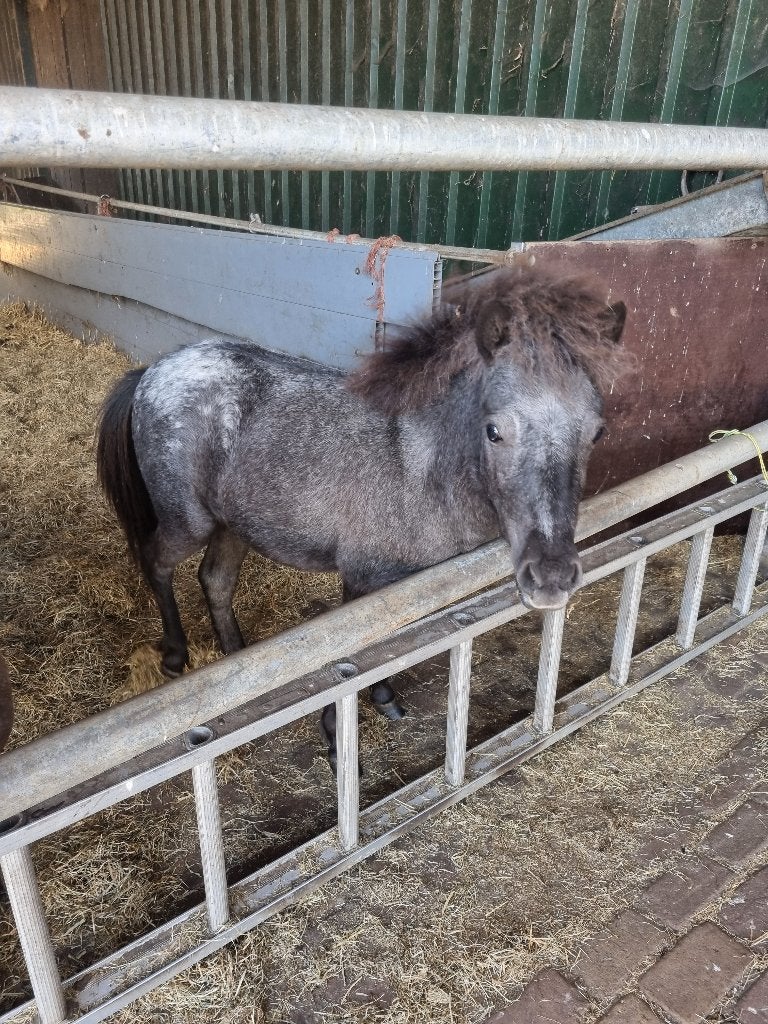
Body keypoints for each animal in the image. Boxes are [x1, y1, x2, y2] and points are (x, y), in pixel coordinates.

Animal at [97, 267, 627, 764]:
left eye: (596, 432)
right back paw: (175, 656)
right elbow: (351, 657)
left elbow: (387, 645)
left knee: (215, 580)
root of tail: (152, 372)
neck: (419, 464)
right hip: (189, 521)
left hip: (233, 523)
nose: (552, 577)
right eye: (494, 430)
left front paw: (384, 699)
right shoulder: (360, 578)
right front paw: (338, 739)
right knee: (157, 561)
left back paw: (239, 660)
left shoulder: (405, 584)